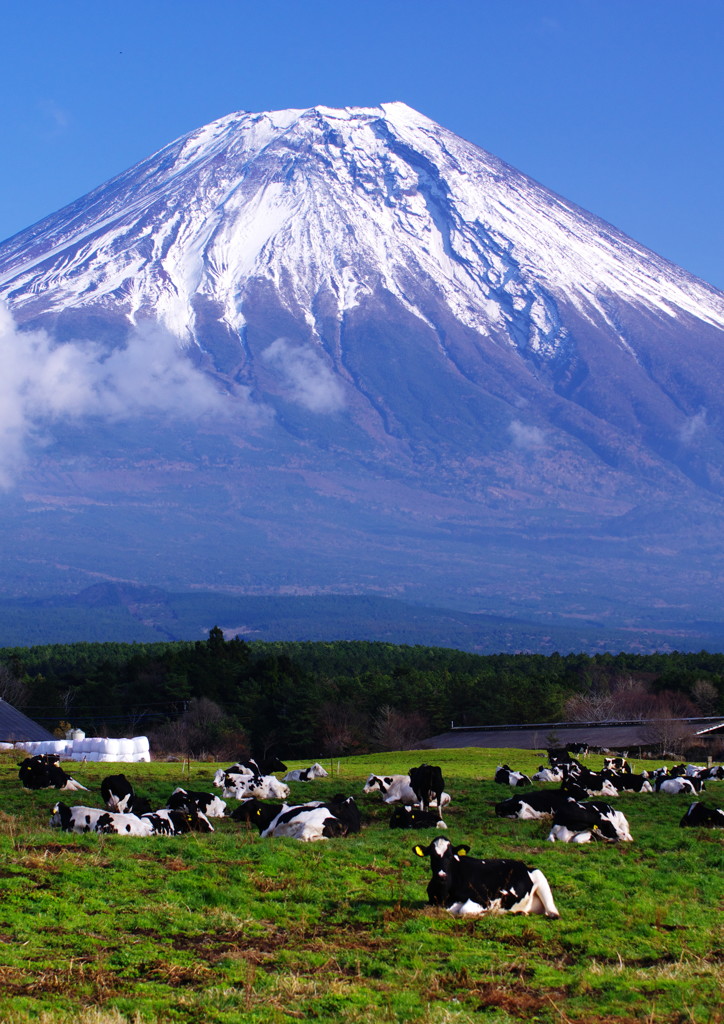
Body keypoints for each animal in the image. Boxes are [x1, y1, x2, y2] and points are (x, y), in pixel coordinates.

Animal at [413, 839, 561, 921]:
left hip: (540, 877)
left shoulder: (483, 899)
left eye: (450, 856)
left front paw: (485, 913)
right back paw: (520, 912)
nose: (441, 875)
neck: (444, 894)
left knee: (553, 914)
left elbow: (464, 910)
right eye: (432, 855)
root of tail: (523, 865)